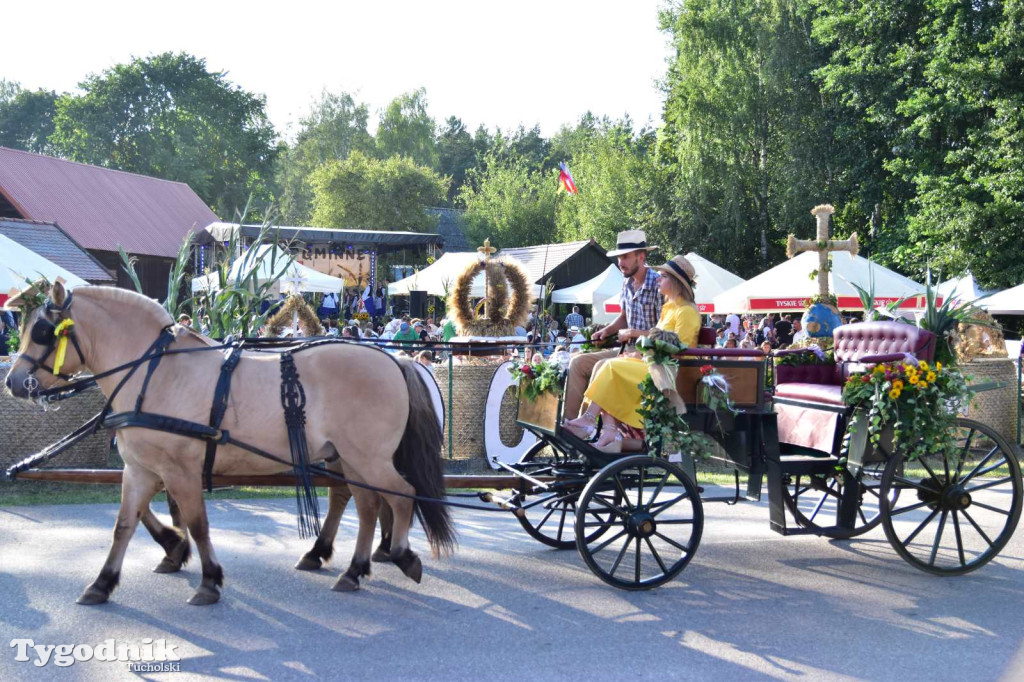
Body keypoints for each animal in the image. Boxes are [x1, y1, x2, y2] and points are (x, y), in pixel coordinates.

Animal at [3, 278, 452, 602]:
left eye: (43, 331)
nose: (12, 382)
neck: (154, 373)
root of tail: (394, 360)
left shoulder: (179, 470)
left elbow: (198, 524)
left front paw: (208, 579)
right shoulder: (141, 469)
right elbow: (124, 525)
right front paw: (103, 582)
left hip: (368, 458)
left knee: (401, 496)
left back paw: (399, 554)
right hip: (349, 459)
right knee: (367, 505)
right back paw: (352, 568)